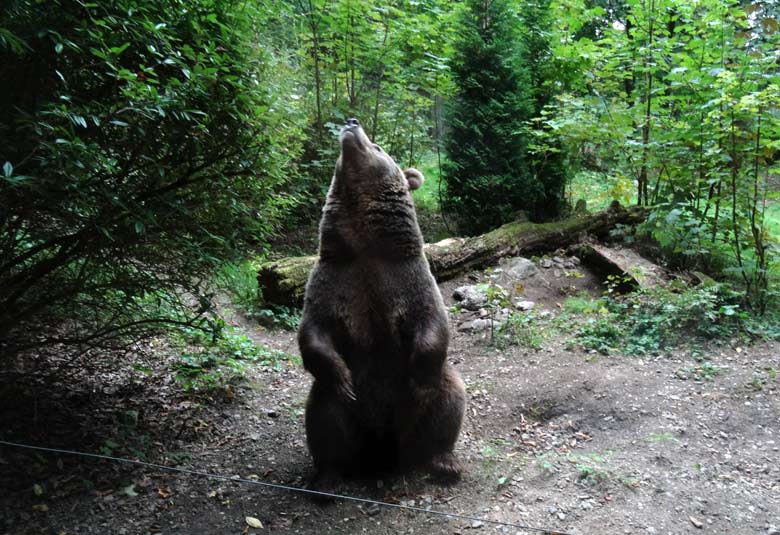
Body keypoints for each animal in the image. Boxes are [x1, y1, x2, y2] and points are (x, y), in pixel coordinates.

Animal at [300, 117, 466, 490]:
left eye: (377, 146)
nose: (351, 122)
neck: (365, 245)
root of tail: (383, 454)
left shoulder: (407, 279)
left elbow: (433, 325)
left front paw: (420, 378)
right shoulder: (334, 279)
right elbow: (314, 333)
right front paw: (341, 377)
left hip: (416, 419)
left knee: (449, 398)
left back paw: (444, 462)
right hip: (346, 415)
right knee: (325, 416)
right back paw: (327, 477)